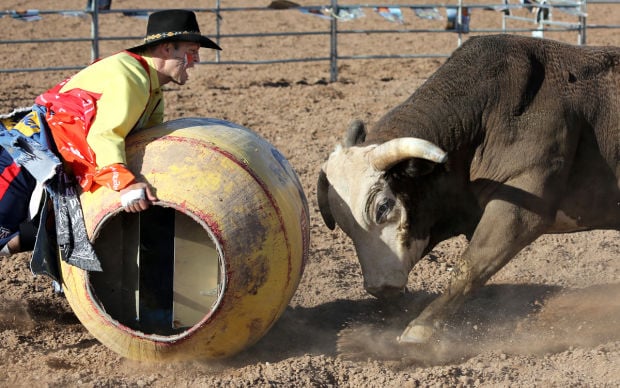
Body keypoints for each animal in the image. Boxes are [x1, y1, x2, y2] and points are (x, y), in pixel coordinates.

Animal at [318, 33, 616, 342]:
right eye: (342, 222)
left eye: (383, 207)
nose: (380, 288)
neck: (490, 112)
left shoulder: (522, 209)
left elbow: (470, 265)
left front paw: (419, 329)